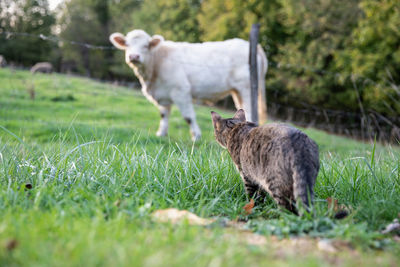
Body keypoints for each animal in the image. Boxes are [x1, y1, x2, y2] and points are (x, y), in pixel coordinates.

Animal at [109, 29, 268, 141]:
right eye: (127, 44)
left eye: (146, 45)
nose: (134, 56)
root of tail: (253, 46)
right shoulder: (163, 94)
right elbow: (164, 114)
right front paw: (161, 133)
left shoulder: (180, 90)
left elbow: (189, 117)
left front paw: (196, 136)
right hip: (237, 91)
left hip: (246, 88)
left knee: (248, 109)